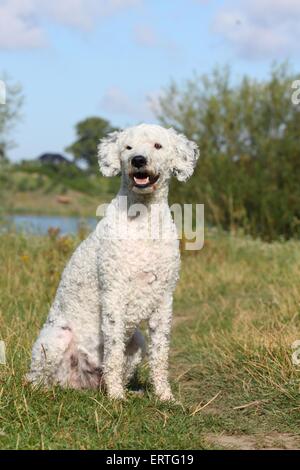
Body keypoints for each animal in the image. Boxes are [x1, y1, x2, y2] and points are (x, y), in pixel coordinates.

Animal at [27, 122, 198, 400]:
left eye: (157, 145)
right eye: (128, 147)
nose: (138, 160)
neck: (143, 221)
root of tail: (78, 382)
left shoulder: (164, 299)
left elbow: (160, 353)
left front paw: (165, 396)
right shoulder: (114, 294)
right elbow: (114, 351)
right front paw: (117, 397)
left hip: (137, 340)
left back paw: (130, 391)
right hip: (54, 339)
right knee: (35, 378)